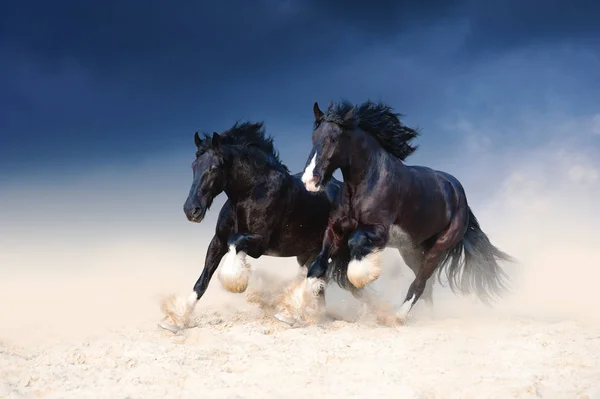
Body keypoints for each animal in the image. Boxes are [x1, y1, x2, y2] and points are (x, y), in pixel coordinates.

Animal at [292, 101, 512, 324]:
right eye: (314, 137)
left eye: (334, 138)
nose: (309, 180)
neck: (366, 182)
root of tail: (458, 192)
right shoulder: (335, 230)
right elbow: (317, 267)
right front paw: (297, 308)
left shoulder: (379, 231)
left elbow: (356, 244)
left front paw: (364, 274)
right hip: (412, 251)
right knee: (426, 284)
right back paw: (426, 317)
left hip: (439, 247)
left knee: (420, 282)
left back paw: (398, 316)